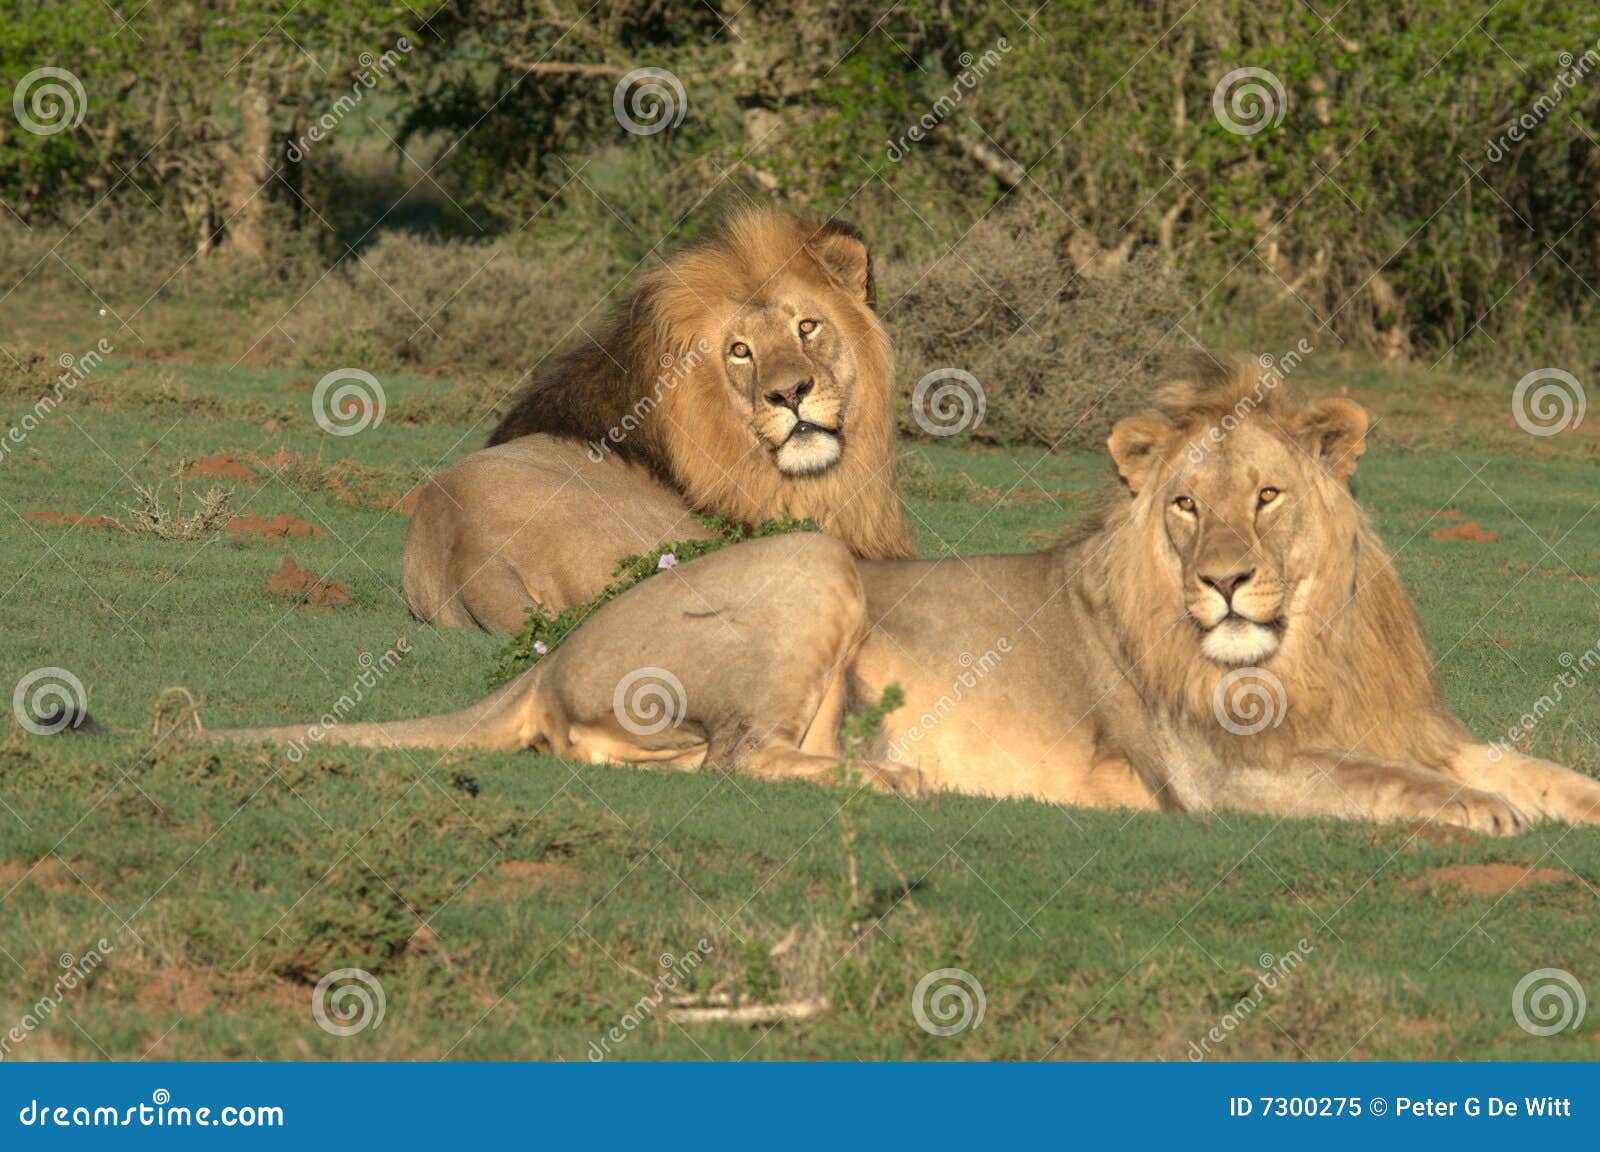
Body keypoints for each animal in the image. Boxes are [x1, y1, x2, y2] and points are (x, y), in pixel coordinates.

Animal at [220, 353, 1600, 835]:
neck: (1307, 643)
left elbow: (1529, 768)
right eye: (1183, 507)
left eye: (1266, 497)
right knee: (743, 756)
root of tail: (557, 653)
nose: (1220, 585)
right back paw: (893, 777)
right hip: (813, 567)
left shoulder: (1400, 720)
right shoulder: (1226, 772)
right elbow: (1399, 786)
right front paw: (1482, 817)